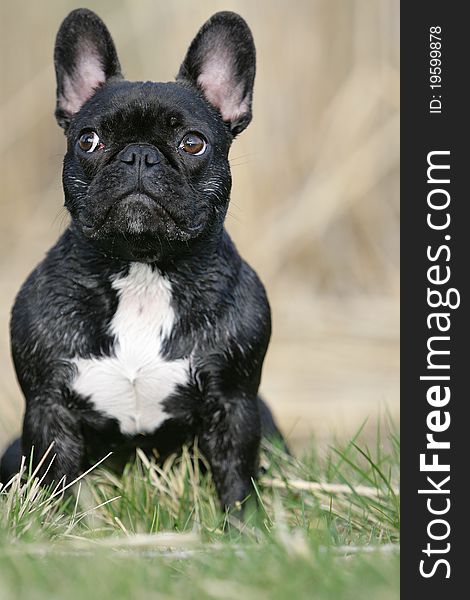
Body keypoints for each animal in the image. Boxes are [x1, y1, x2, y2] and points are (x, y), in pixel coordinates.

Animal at [0, 9, 280, 510]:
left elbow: (236, 478)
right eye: (88, 139)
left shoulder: (236, 405)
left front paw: (245, 525)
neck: (143, 269)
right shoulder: (48, 408)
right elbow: (53, 483)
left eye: (193, 143)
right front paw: (55, 523)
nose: (139, 155)